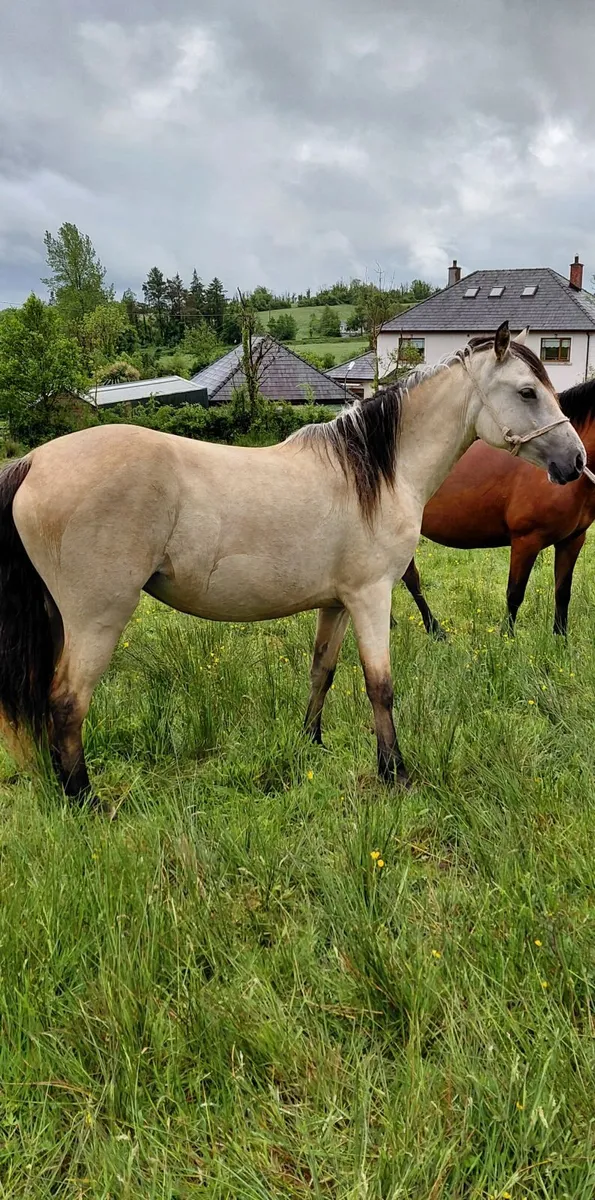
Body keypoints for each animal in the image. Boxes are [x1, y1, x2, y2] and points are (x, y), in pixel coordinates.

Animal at [401, 377, 595, 638]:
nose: (575, 461)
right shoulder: (526, 540)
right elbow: (515, 594)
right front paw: (507, 639)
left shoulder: (573, 540)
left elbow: (563, 592)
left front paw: (560, 637)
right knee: (411, 578)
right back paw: (435, 630)